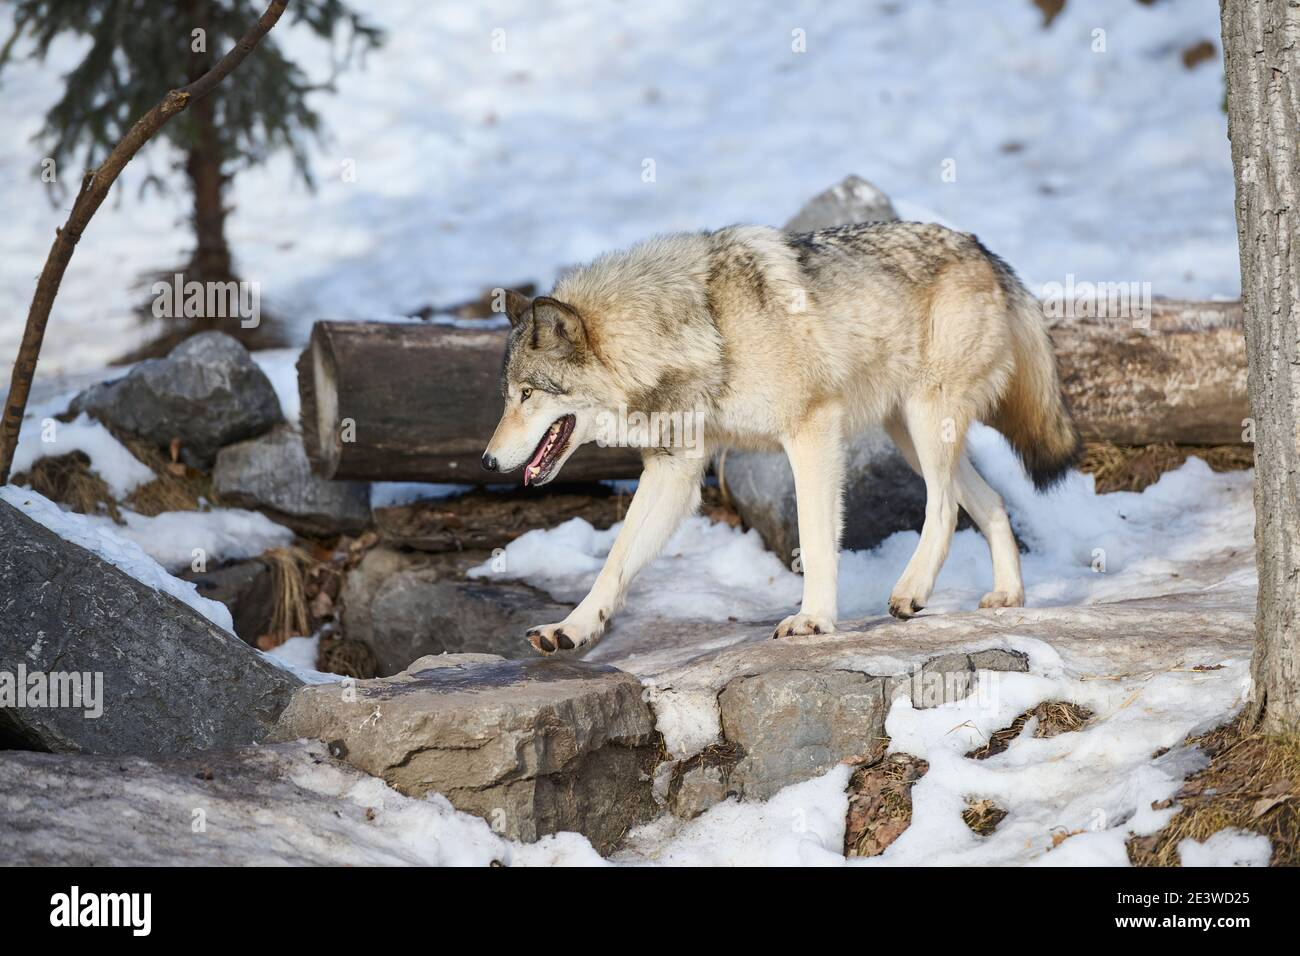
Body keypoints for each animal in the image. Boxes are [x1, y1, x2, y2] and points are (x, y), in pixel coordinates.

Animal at [482, 221, 1079, 655]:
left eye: (528, 395)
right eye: (507, 395)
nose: (487, 462)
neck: (704, 329)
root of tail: (985, 251)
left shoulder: (812, 430)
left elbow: (815, 539)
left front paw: (813, 619)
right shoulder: (674, 469)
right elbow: (616, 561)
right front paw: (573, 627)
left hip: (927, 421)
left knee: (944, 505)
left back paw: (911, 590)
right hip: (907, 432)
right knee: (990, 501)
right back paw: (1008, 594)